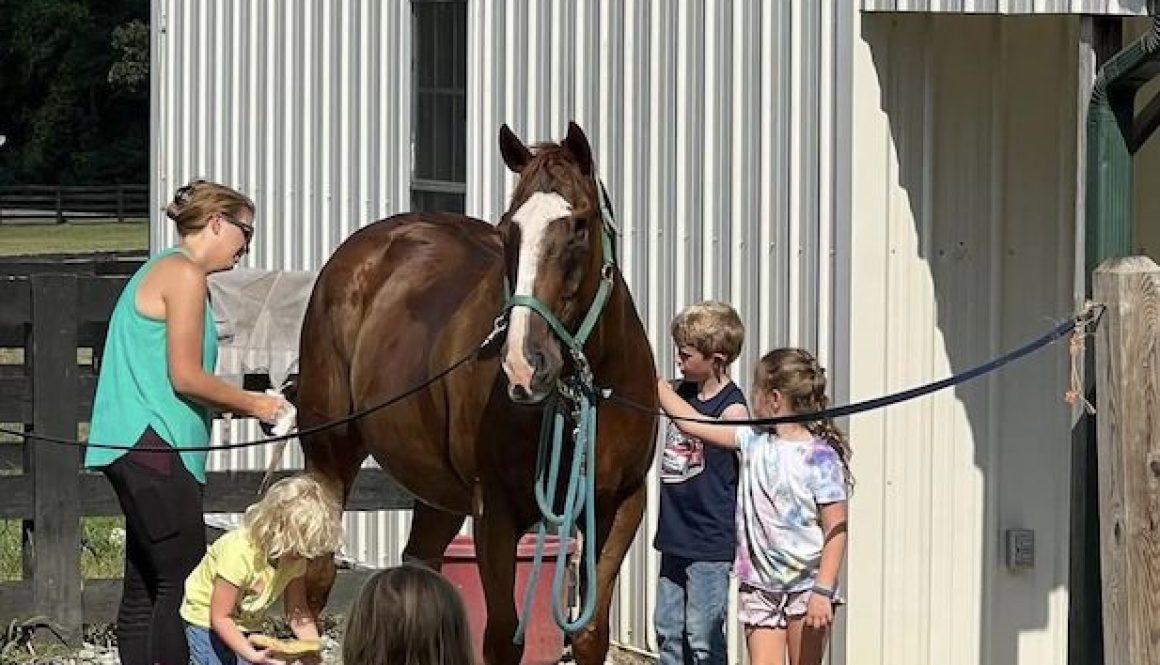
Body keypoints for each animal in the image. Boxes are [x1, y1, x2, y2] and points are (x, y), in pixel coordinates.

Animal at [295, 122, 659, 665]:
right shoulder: (495, 511)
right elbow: (502, 634)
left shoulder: (619, 506)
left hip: (439, 497)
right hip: (330, 456)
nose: (525, 365)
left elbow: (591, 631)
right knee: (317, 581)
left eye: (578, 225)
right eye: (508, 229)